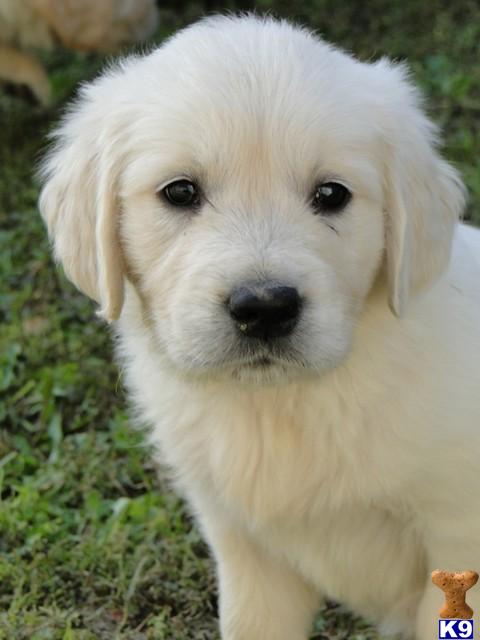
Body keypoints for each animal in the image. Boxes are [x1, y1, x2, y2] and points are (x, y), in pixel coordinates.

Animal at [38, 15, 480, 640]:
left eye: (332, 194)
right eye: (180, 191)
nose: (265, 307)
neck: (279, 406)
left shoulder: (459, 531)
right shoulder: (246, 552)